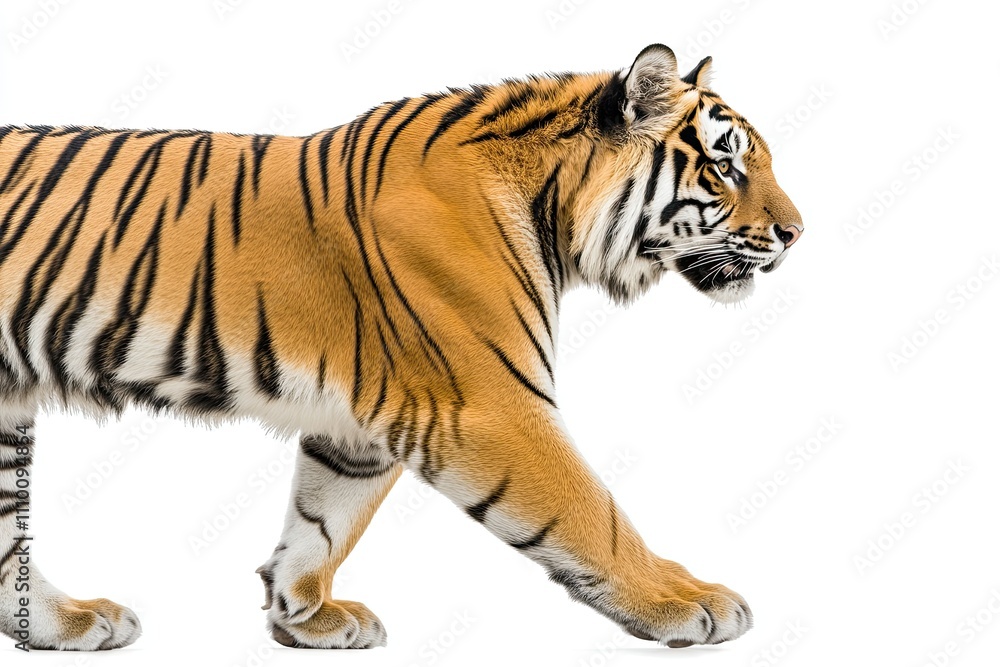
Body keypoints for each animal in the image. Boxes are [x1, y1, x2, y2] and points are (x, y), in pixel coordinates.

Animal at [0, 43, 801, 651]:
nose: (797, 232)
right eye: (726, 167)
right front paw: (684, 600)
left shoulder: (362, 424)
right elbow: (592, 512)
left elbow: (325, 519)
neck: (550, 208)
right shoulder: (491, 404)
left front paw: (302, 614)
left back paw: (65, 625)